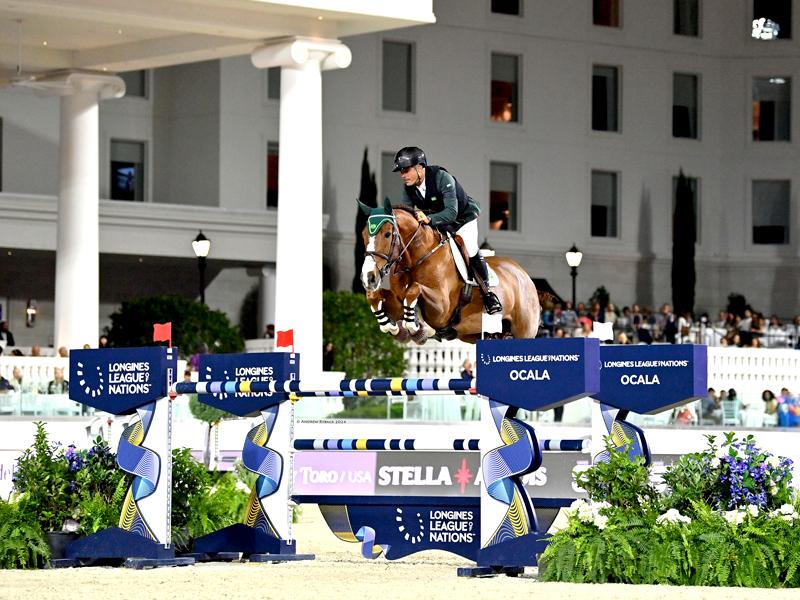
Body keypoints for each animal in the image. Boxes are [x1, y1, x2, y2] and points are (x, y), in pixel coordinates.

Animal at [358, 198, 541, 344]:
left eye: (387, 234)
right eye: (364, 235)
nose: (369, 278)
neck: (417, 259)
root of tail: (525, 276)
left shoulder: (442, 309)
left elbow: (414, 289)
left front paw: (417, 329)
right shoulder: (397, 302)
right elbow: (373, 296)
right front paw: (393, 328)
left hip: (523, 331)